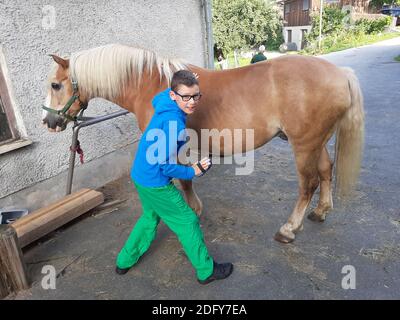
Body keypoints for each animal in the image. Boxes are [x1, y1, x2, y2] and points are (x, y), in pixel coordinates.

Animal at [42, 43, 364, 242]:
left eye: (55, 84)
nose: (49, 122)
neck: (153, 86)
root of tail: (341, 73)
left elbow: (182, 181)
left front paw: (192, 211)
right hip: (316, 142)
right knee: (326, 170)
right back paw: (320, 212)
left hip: (304, 145)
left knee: (308, 183)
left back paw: (289, 228)